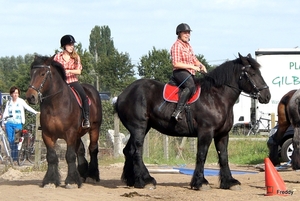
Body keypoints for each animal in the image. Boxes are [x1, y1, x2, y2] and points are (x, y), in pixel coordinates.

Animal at [25, 55, 102, 188]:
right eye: (31, 73)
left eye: (43, 73)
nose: (30, 97)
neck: (55, 104)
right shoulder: (47, 134)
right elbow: (51, 157)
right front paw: (50, 181)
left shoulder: (70, 133)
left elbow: (70, 156)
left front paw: (71, 181)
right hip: (78, 134)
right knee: (80, 150)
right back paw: (82, 174)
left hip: (94, 129)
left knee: (93, 149)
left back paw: (92, 176)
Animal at [115, 53, 270, 190]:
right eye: (252, 73)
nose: (267, 96)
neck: (215, 98)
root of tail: (122, 95)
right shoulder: (206, 132)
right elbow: (201, 155)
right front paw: (200, 183)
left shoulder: (222, 134)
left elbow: (224, 157)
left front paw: (229, 182)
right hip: (139, 127)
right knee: (137, 151)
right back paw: (146, 180)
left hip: (141, 128)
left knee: (128, 150)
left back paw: (133, 180)